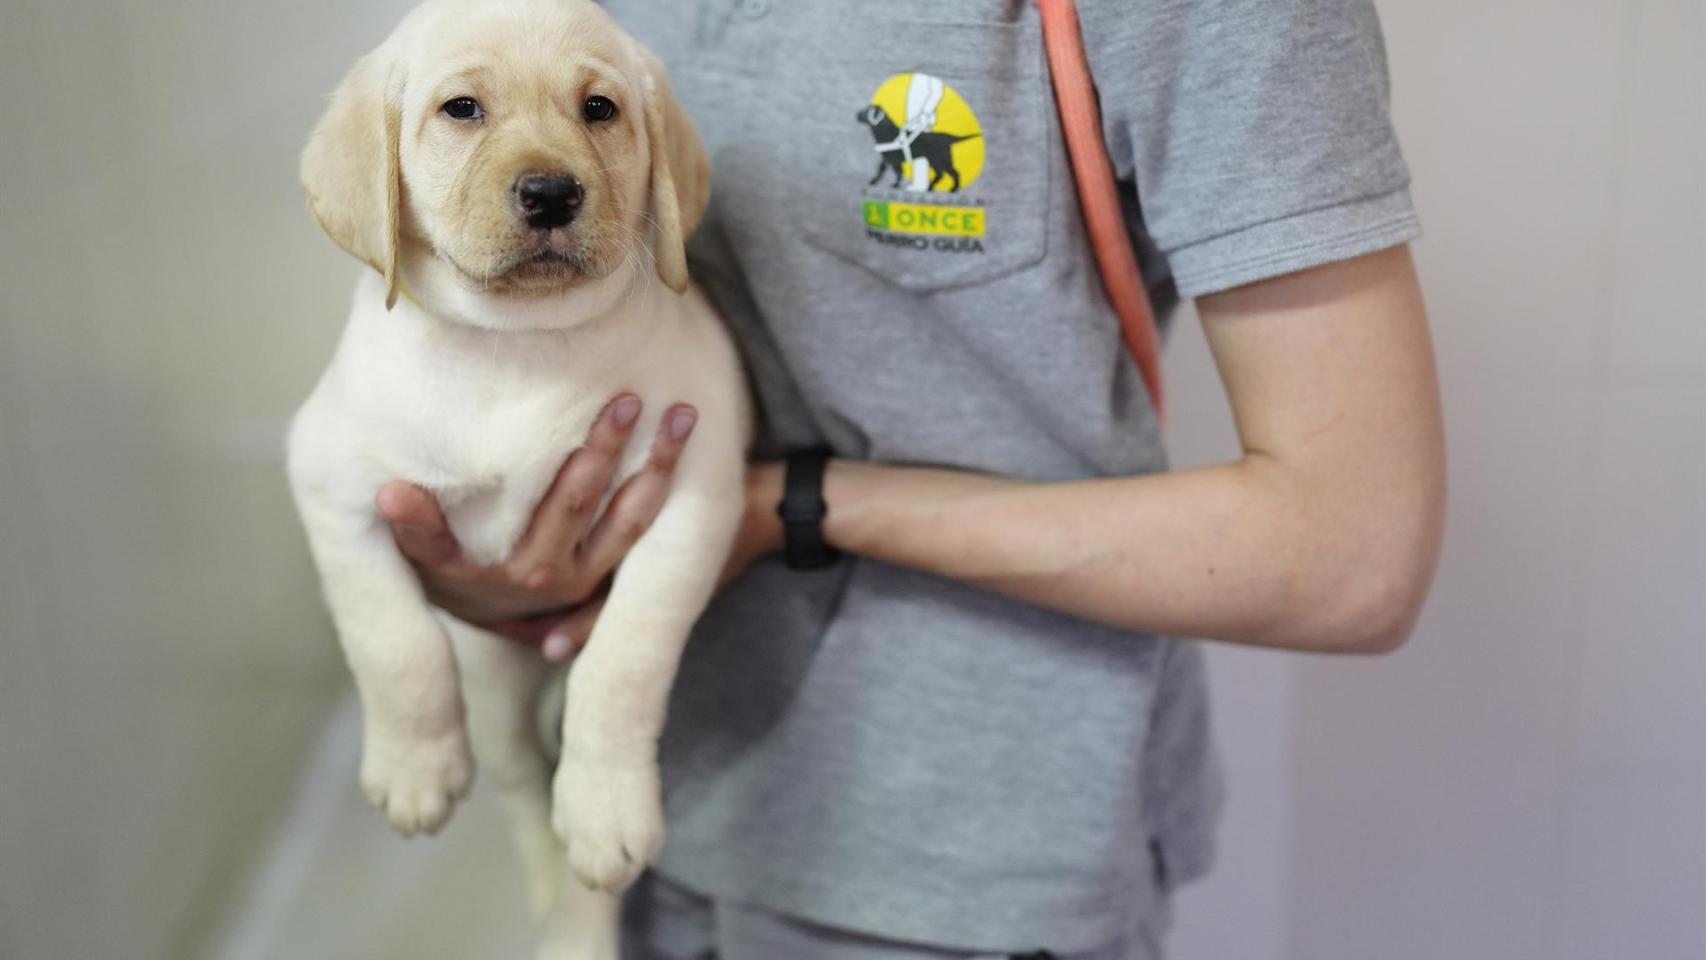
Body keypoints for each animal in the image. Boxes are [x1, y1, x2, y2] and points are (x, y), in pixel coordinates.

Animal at [286, 0, 747, 954]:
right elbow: (394, 640)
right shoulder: (331, 482)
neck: (515, 345)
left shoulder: (692, 492)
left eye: (600, 110)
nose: (550, 193)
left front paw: (607, 810)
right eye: (462, 109)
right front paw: (412, 767)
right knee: (523, 791)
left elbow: (625, 660)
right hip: (496, 692)